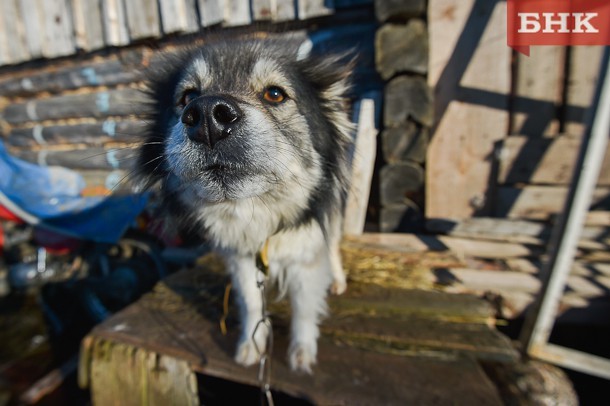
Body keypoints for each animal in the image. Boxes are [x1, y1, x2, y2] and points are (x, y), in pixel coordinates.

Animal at [134, 35, 352, 374]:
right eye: (188, 96)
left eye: (274, 94)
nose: (206, 117)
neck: (257, 214)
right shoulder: (242, 259)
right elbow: (251, 302)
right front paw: (251, 343)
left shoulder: (305, 254)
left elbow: (304, 307)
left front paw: (302, 351)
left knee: (333, 246)